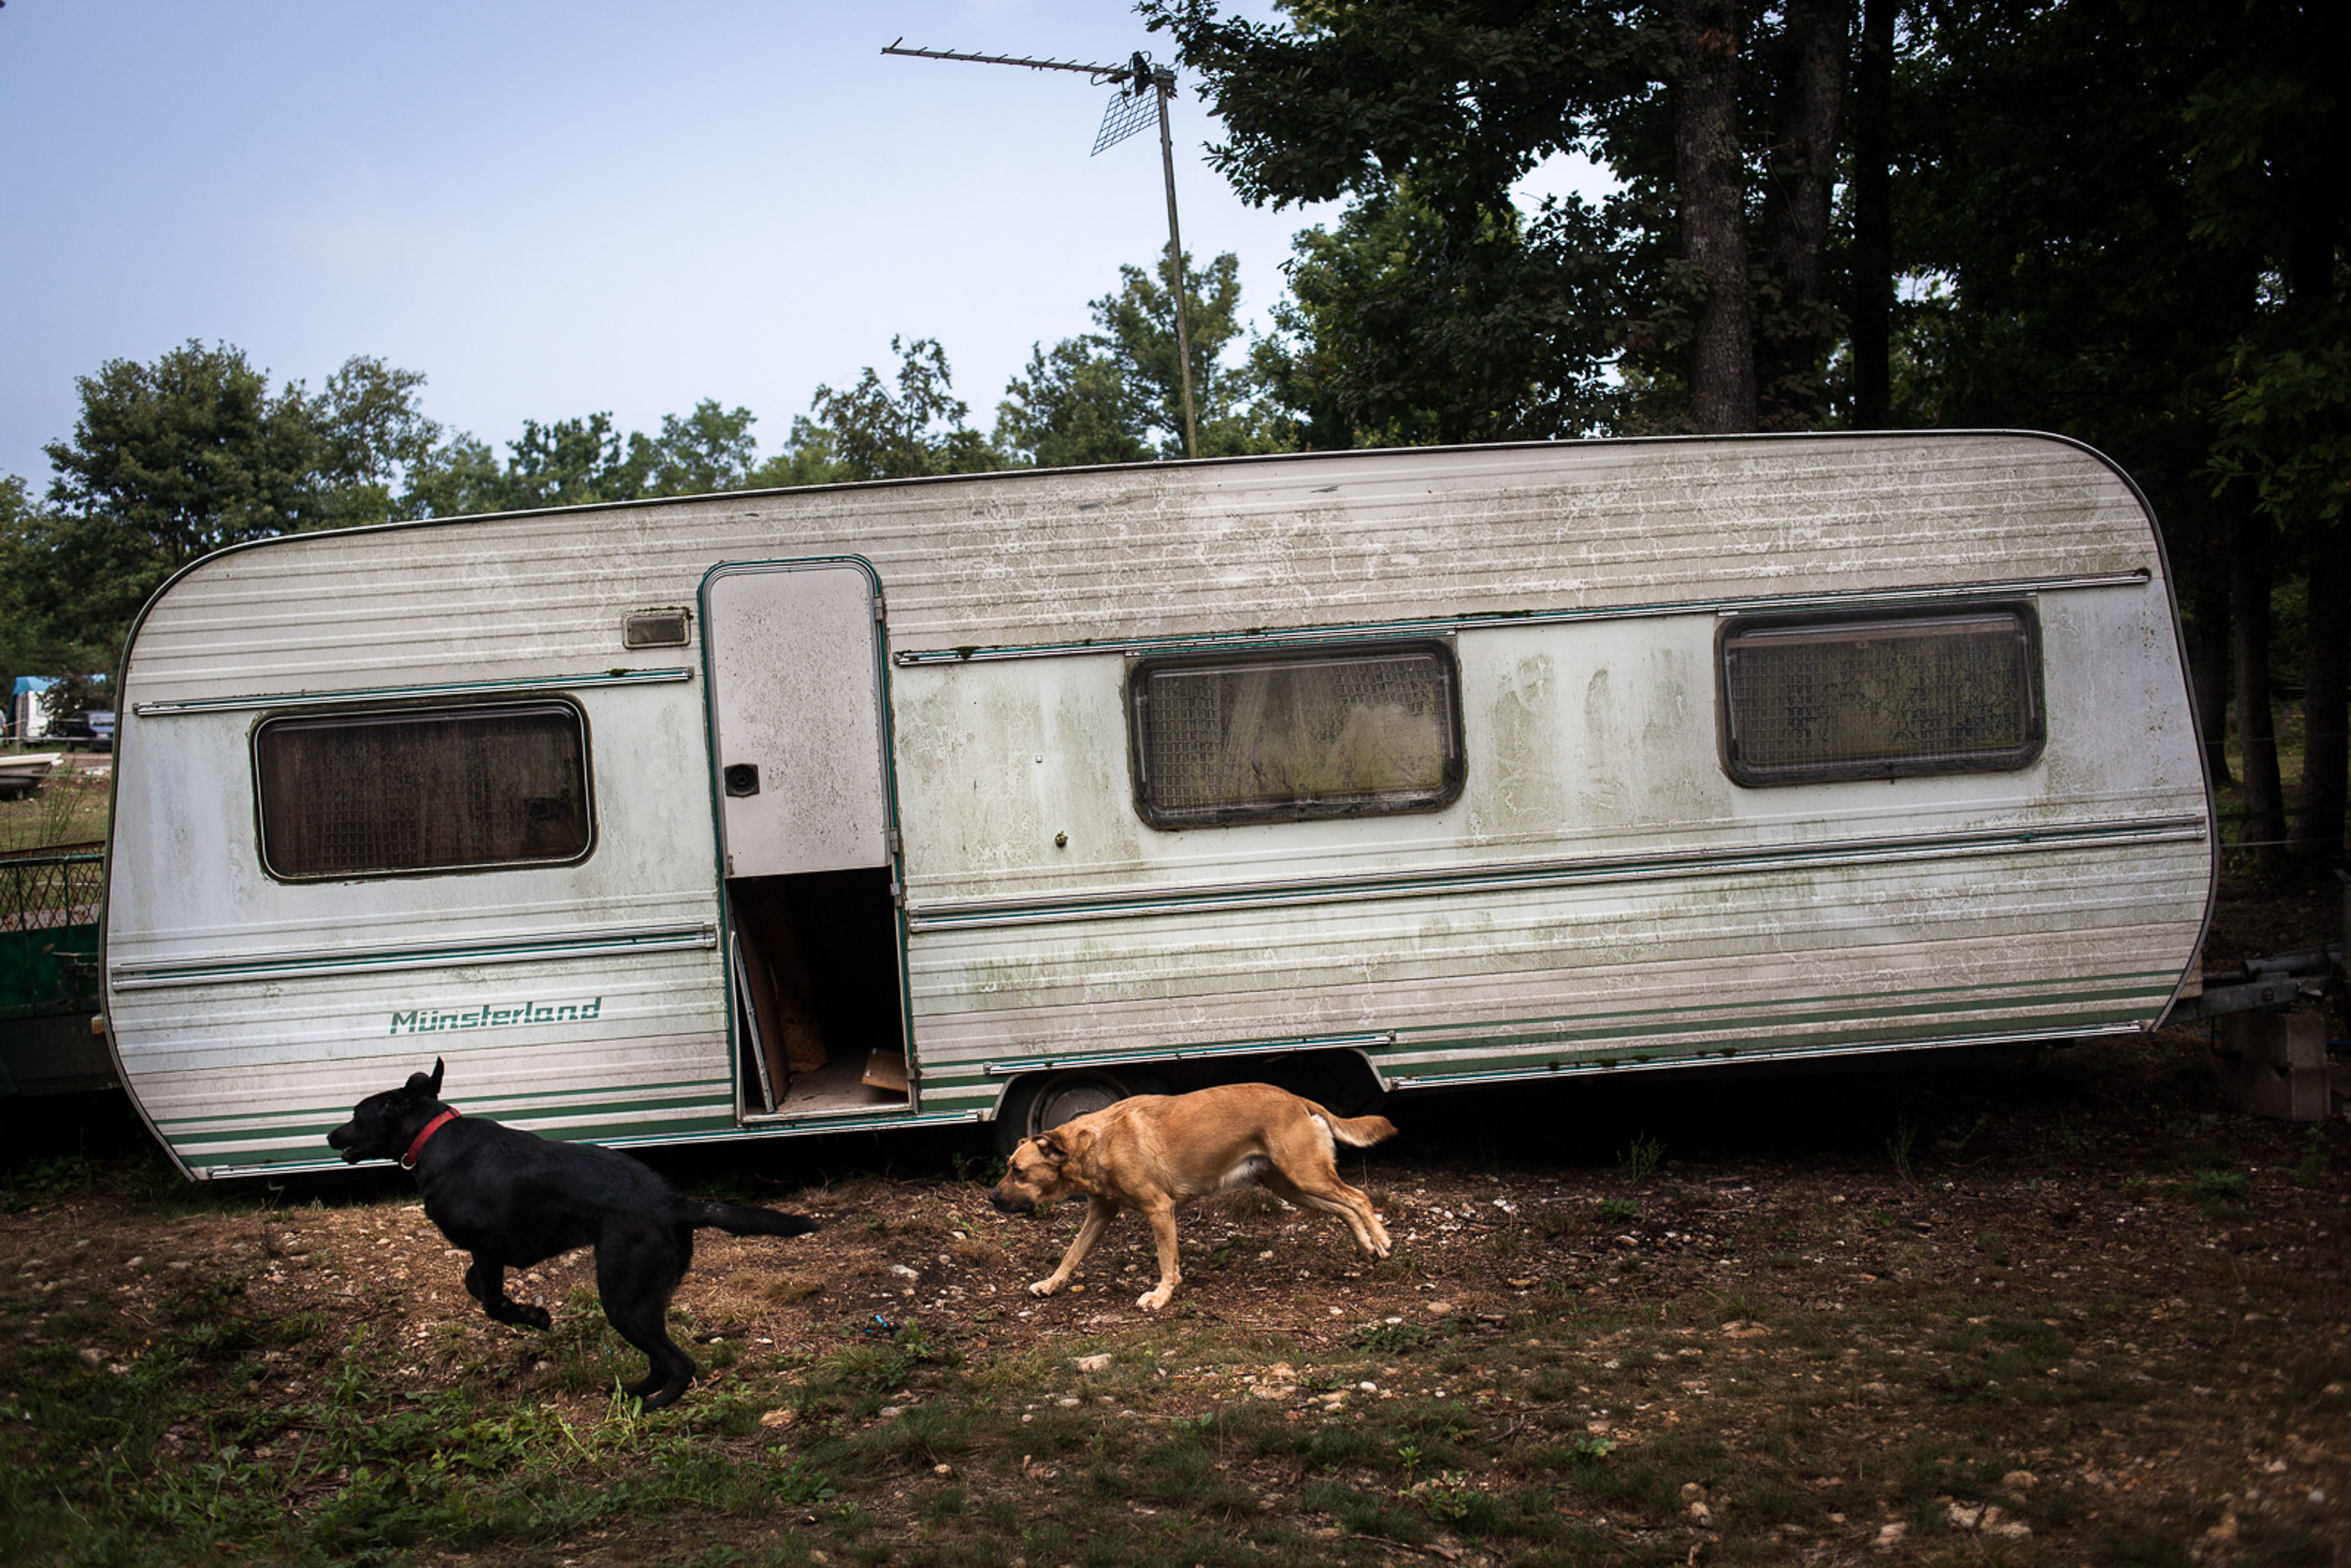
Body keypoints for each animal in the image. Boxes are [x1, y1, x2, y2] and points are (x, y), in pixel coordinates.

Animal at [326, 1067, 813, 1410]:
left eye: (354, 1116)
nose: (329, 1134)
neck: (432, 1137)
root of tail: (678, 1202)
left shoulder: (486, 1247)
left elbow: (490, 1302)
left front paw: (531, 1316)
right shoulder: (490, 1253)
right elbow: (475, 1286)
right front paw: (529, 1311)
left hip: (622, 1296)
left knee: (679, 1363)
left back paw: (652, 1406)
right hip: (639, 1301)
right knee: (660, 1361)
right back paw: (630, 1392)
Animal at [987, 1081, 1392, 1316]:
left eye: (1018, 1170)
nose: (991, 1198)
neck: (1097, 1143)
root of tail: (1294, 1097)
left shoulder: (1159, 1209)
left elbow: (1167, 1261)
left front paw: (1161, 1296)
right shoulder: (1100, 1213)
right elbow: (1071, 1254)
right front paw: (1052, 1283)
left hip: (1305, 1174)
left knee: (1359, 1198)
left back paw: (1383, 1240)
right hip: (1291, 1186)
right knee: (1344, 1208)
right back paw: (1366, 1246)